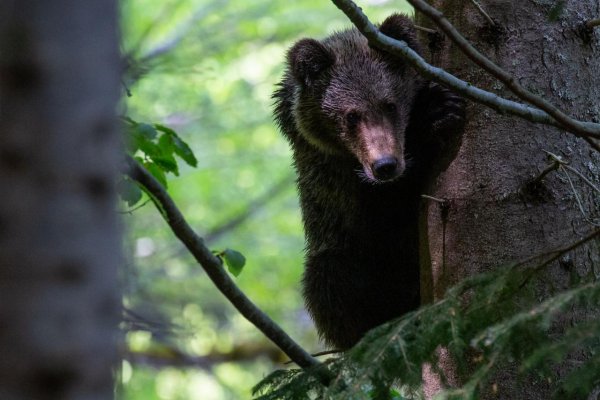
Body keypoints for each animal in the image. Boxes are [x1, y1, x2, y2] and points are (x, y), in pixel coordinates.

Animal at [274, 14, 466, 348]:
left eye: (390, 104)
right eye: (350, 115)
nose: (385, 165)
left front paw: (441, 106)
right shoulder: (334, 178)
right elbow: (382, 214)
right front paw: (435, 113)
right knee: (329, 281)